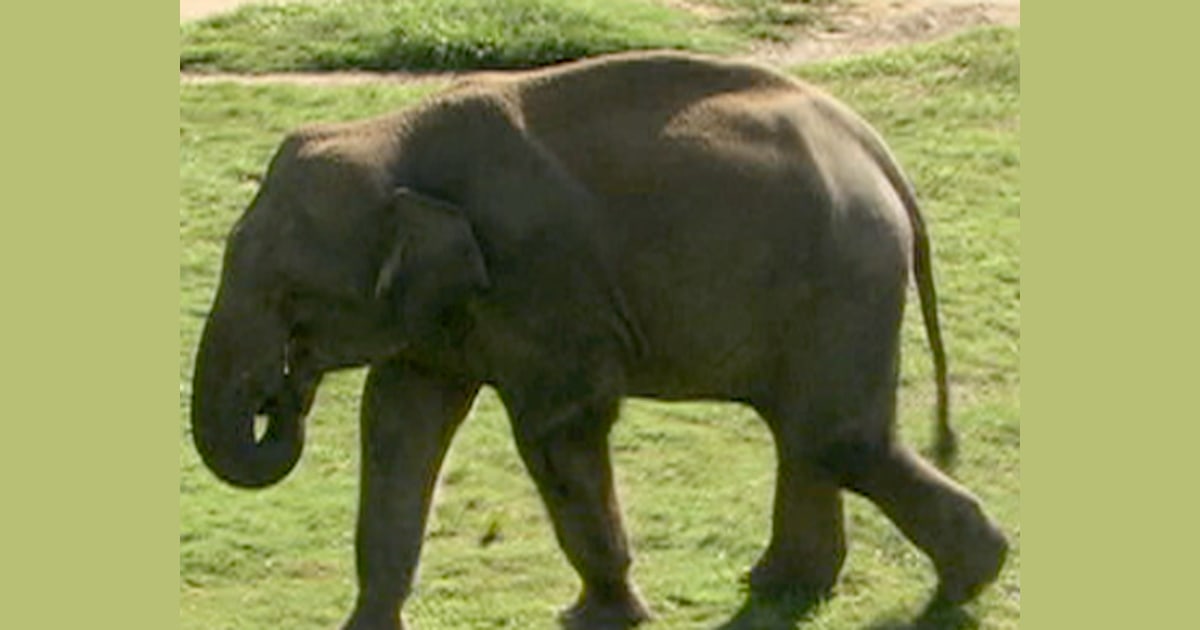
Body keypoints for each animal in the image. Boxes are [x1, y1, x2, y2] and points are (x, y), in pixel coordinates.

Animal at [189, 51, 1008, 629]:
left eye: (291, 296)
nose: (280, 392)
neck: (396, 133)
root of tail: (881, 156)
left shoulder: (540, 278)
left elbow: (559, 428)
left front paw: (597, 617)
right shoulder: (439, 311)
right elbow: (396, 420)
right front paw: (367, 624)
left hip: (843, 278)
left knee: (837, 438)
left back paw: (965, 583)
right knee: (806, 433)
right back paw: (784, 587)